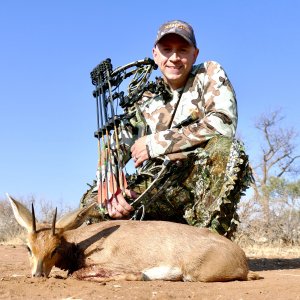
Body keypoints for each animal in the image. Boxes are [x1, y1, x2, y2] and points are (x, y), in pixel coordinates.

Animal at [7, 193, 260, 282]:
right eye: (28, 248)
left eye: (54, 249)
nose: (37, 275)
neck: (81, 244)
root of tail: (242, 260)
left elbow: (77, 274)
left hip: (196, 275)